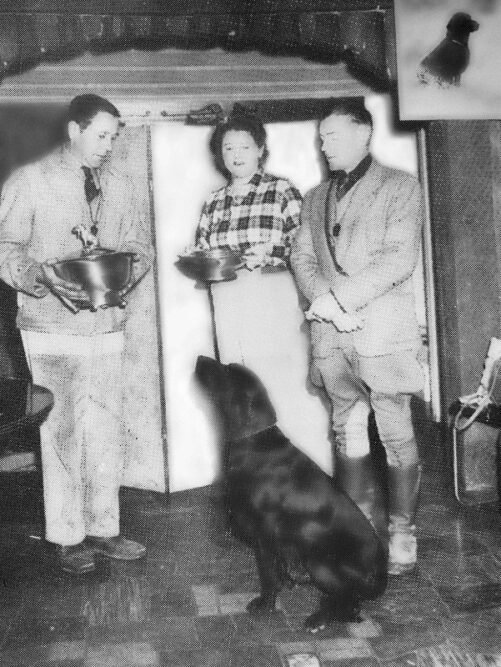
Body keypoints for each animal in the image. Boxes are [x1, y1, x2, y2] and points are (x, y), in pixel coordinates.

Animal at [193, 354, 384, 632]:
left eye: (226, 370)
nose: (198, 357)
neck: (253, 444)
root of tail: (381, 577)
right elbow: (279, 569)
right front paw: (286, 583)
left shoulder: (264, 534)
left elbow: (268, 575)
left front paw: (265, 603)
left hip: (319, 561)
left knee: (349, 600)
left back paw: (318, 619)